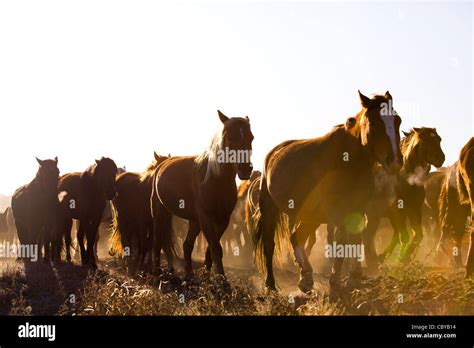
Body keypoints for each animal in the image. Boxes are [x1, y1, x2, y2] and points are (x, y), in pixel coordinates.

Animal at [152, 111, 256, 280]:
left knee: (187, 245)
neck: (216, 180)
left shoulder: (223, 219)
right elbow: (215, 247)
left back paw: (188, 275)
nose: (245, 169)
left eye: (251, 137)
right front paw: (222, 281)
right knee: (158, 240)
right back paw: (156, 272)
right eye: (230, 136)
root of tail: (162, 164)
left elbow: (211, 249)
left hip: (194, 221)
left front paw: (209, 275)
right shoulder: (206, 218)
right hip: (159, 212)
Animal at [254, 91, 402, 294]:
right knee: (270, 245)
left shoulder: (357, 208)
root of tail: (273, 153)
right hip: (270, 209)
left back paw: (306, 277)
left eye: (398, 121)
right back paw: (271, 284)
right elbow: (341, 240)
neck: (348, 162)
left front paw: (354, 277)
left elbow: (354, 238)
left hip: (311, 215)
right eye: (374, 122)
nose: (395, 161)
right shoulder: (336, 211)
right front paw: (337, 280)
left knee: (296, 237)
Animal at [362, 128, 444, 266]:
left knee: (372, 235)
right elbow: (405, 236)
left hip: (379, 217)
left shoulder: (414, 210)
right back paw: (372, 261)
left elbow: (418, 235)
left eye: (439, 139)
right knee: (367, 236)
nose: (440, 158)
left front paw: (406, 258)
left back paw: (377, 259)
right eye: (424, 140)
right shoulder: (398, 211)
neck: (406, 181)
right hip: (374, 215)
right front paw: (402, 258)